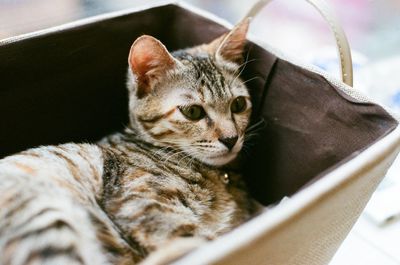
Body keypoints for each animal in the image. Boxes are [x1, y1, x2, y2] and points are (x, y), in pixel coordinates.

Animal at [0, 19, 260, 264]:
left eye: (238, 104)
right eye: (192, 112)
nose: (230, 138)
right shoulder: (144, 206)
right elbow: (196, 237)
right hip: (48, 215)